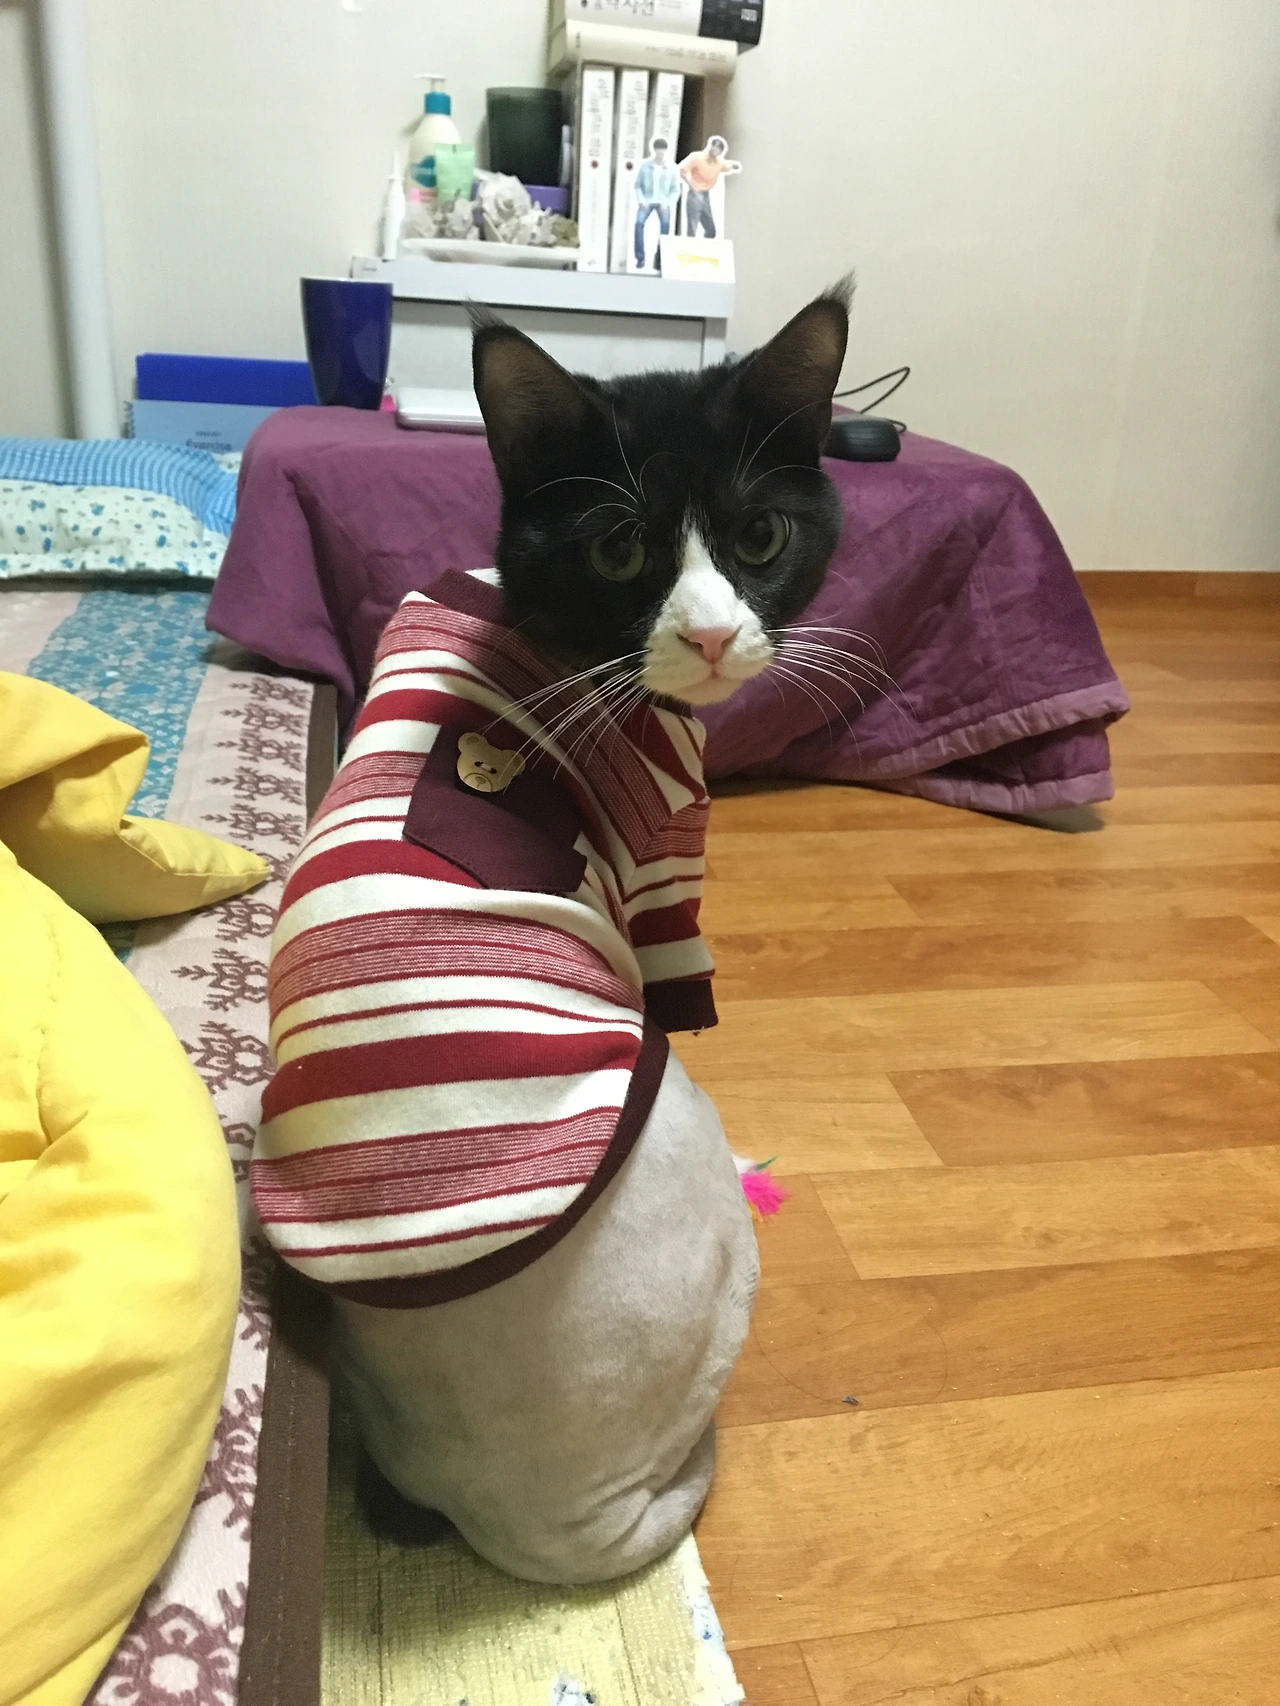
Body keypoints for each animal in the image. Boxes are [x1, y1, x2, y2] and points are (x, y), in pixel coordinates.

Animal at [256, 284, 851, 1586]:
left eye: (759, 539)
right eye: (619, 549)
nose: (715, 636)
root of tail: (546, 1521)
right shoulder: (664, 864)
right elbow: (685, 976)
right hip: (690, 1147)